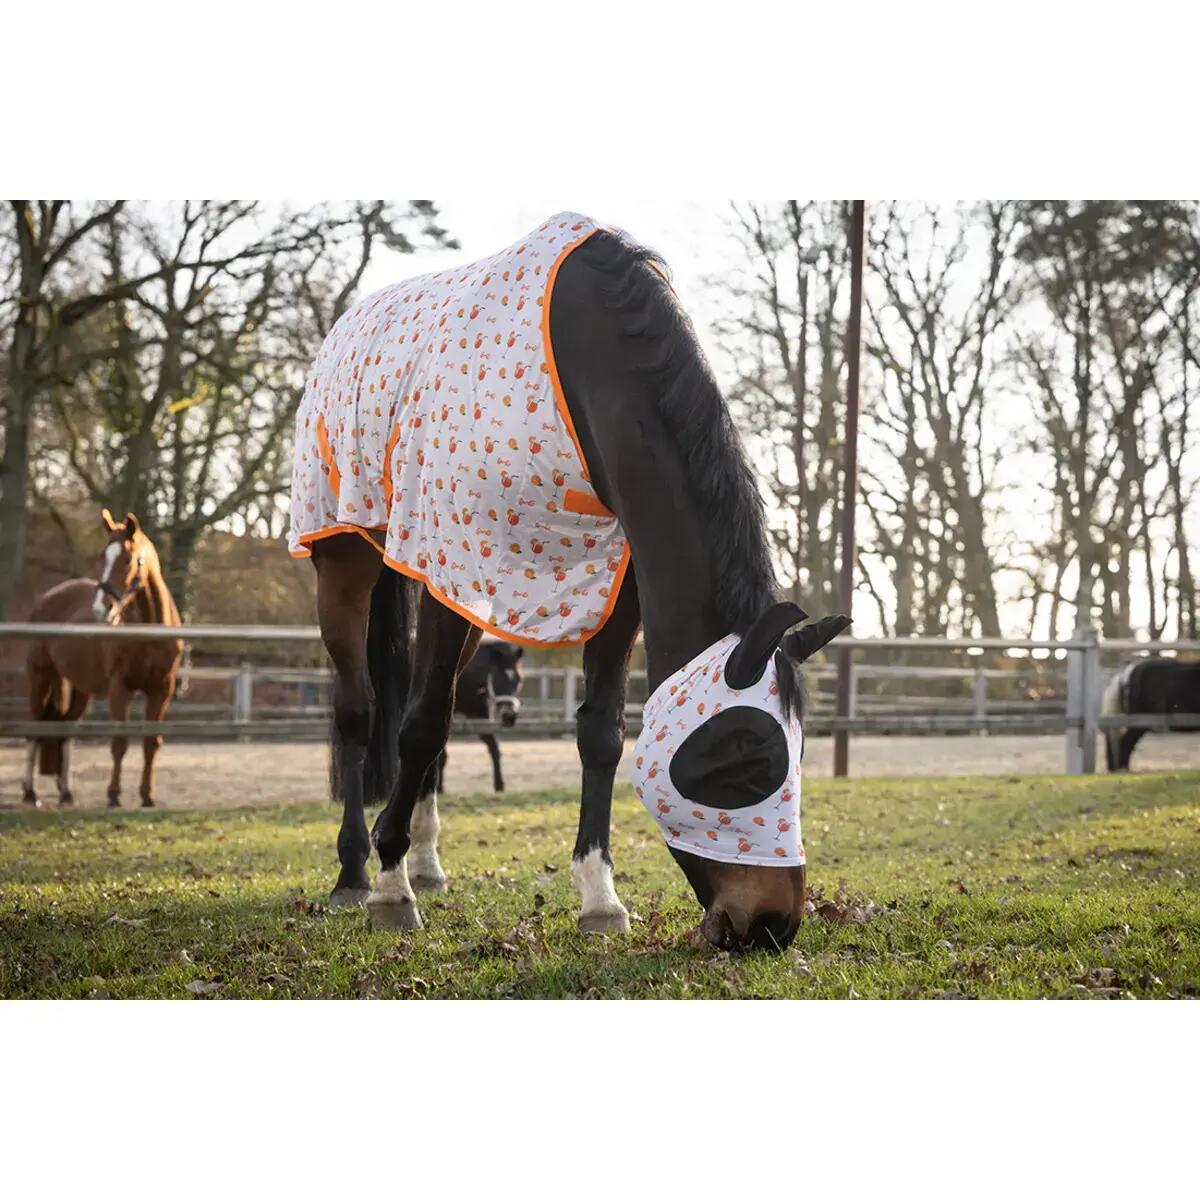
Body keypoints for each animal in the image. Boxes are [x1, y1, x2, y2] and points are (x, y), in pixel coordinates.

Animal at [22, 509, 184, 808]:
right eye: (102, 556)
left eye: (129, 558)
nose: (102, 608)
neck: (150, 632)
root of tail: (46, 599)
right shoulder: (120, 688)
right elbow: (119, 743)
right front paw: (113, 795)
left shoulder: (162, 689)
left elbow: (151, 743)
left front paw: (147, 796)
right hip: (41, 677)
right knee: (34, 728)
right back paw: (30, 792)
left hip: (79, 688)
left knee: (66, 730)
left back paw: (66, 793)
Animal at [292, 213, 849, 952]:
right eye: (746, 756)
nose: (769, 925)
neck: (586, 369)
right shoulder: (450, 568)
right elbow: (420, 725)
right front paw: (390, 888)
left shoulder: (619, 586)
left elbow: (601, 734)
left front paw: (599, 898)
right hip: (347, 561)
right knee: (361, 710)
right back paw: (357, 870)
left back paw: (427, 863)